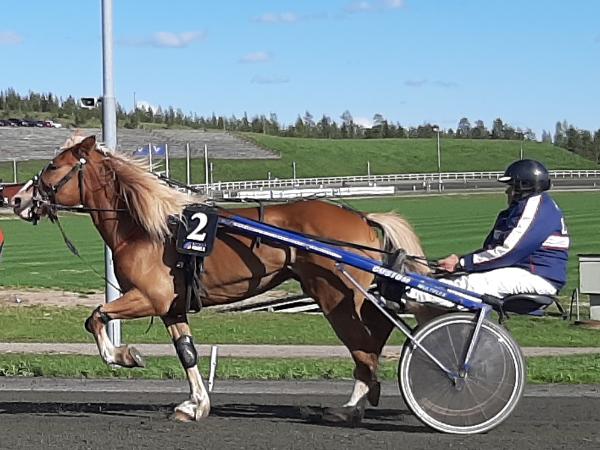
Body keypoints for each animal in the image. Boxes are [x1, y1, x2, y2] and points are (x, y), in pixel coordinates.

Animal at [12, 135, 433, 423]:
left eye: (53, 166)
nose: (17, 199)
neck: (145, 227)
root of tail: (361, 216)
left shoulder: (147, 296)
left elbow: (95, 316)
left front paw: (125, 355)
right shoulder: (171, 307)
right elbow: (187, 353)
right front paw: (196, 405)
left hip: (334, 294)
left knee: (365, 344)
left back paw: (352, 405)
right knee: (374, 335)